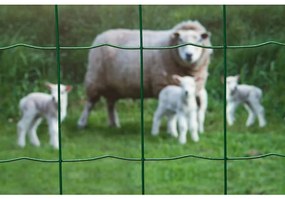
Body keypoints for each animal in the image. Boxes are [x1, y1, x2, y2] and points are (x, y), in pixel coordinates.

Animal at [77, 19, 211, 134]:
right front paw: (172, 129)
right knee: (90, 103)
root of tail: (101, 35)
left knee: (110, 104)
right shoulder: (164, 86)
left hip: (112, 85)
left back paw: (114, 124)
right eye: (181, 40)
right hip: (95, 78)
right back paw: (82, 124)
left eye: (199, 40)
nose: (189, 55)